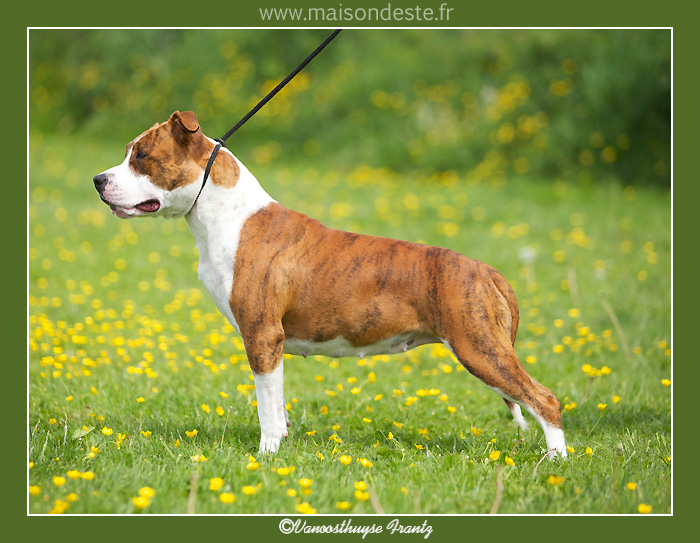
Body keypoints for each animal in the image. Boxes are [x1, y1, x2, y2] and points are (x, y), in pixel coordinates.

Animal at [93, 111, 567, 457]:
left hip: (480, 349)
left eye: (142, 157)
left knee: (544, 400)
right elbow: (278, 404)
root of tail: (486, 270)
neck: (225, 213)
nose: (98, 180)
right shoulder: (271, 343)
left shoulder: (262, 335)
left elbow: (265, 407)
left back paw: (555, 463)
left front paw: (266, 456)